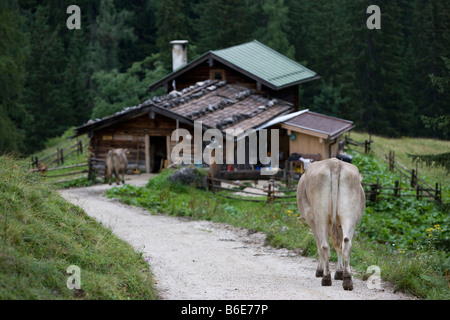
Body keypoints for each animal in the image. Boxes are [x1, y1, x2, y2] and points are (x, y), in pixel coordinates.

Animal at [296, 158, 366, 290]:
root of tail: (334, 163)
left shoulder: (313, 224)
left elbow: (320, 248)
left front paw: (320, 270)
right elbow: (339, 247)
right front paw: (340, 272)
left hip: (320, 217)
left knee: (324, 246)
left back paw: (326, 278)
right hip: (349, 216)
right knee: (346, 244)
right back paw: (347, 280)